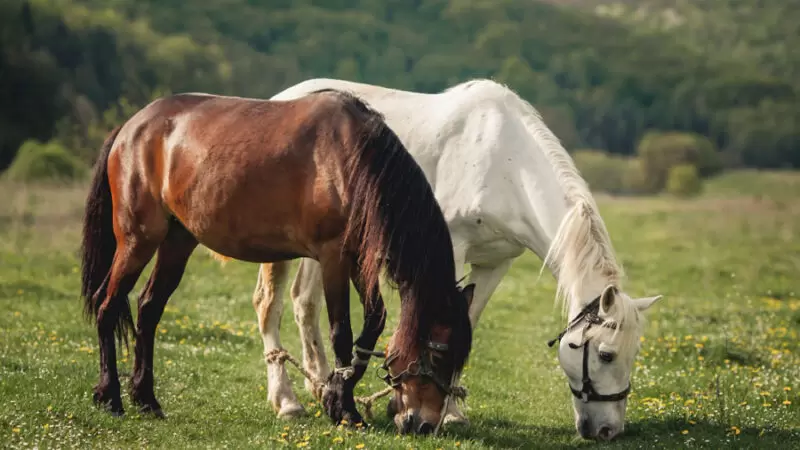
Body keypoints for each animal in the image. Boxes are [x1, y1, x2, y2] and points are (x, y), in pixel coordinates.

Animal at [79, 89, 476, 434]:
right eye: (438, 354)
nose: (424, 425)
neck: (352, 160)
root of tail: (131, 127)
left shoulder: (358, 259)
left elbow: (373, 322)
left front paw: (335, 395)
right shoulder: (333, 258)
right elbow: (342, 333)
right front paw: (345, 409)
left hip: (177, 243)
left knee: (148, 309)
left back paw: (146, 399)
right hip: (137, 241)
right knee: (107, 306)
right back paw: (110, 396)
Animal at [211, 77, 664, 440]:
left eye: (633, 354)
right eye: (604, 354)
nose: (607, 430)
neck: (506, 163)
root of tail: (280, 99)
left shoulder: (496, 263)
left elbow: (468, 324)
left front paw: (452, 409)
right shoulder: (452, 252)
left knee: (305, 304)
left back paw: (323, 385)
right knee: (269, 306)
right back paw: (287, 401)